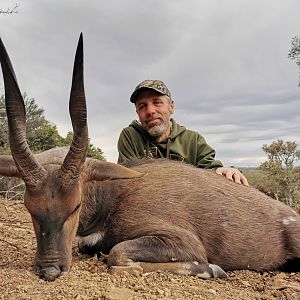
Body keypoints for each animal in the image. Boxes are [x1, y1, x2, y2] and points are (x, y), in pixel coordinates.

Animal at [0, 34, 300, 282]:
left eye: (75, 206)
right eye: (30, 208)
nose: (50, 270)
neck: (113, 195)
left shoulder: (185, 242)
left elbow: (117, 255)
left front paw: (212, 269)